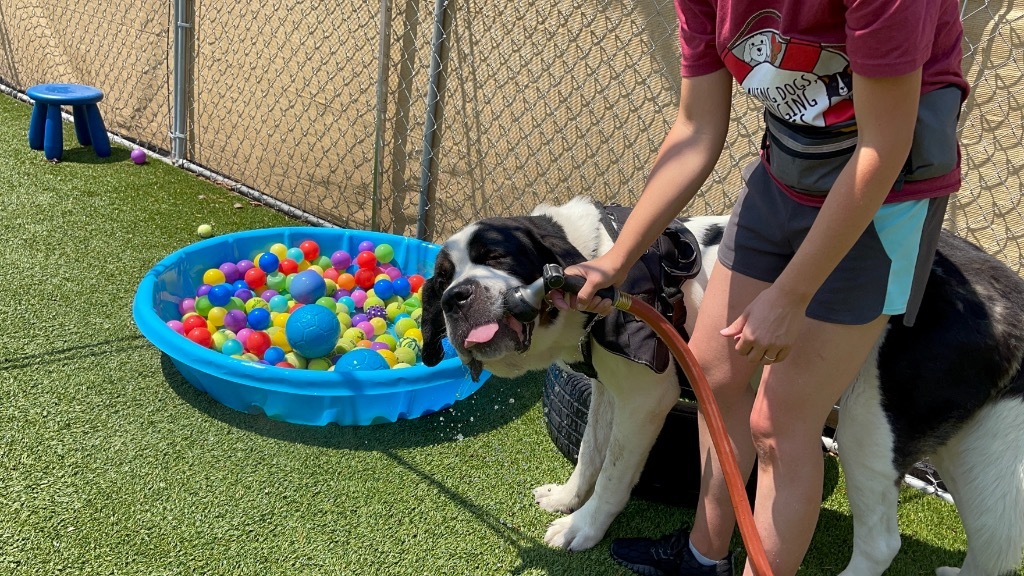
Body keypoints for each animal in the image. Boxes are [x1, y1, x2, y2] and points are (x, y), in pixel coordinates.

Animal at [417, 196, 1024, 573]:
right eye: (443, 280)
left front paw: (582, 529)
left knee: (882, 543)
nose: (456, 299)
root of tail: (1005, 293)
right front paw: (567, 499)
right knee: (994, 547)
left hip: (867, 427)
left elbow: (613, 474)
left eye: (497, 256)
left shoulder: (646, 399)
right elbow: (590, 453)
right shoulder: (610, 391)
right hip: (971, 452)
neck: (595, 260)